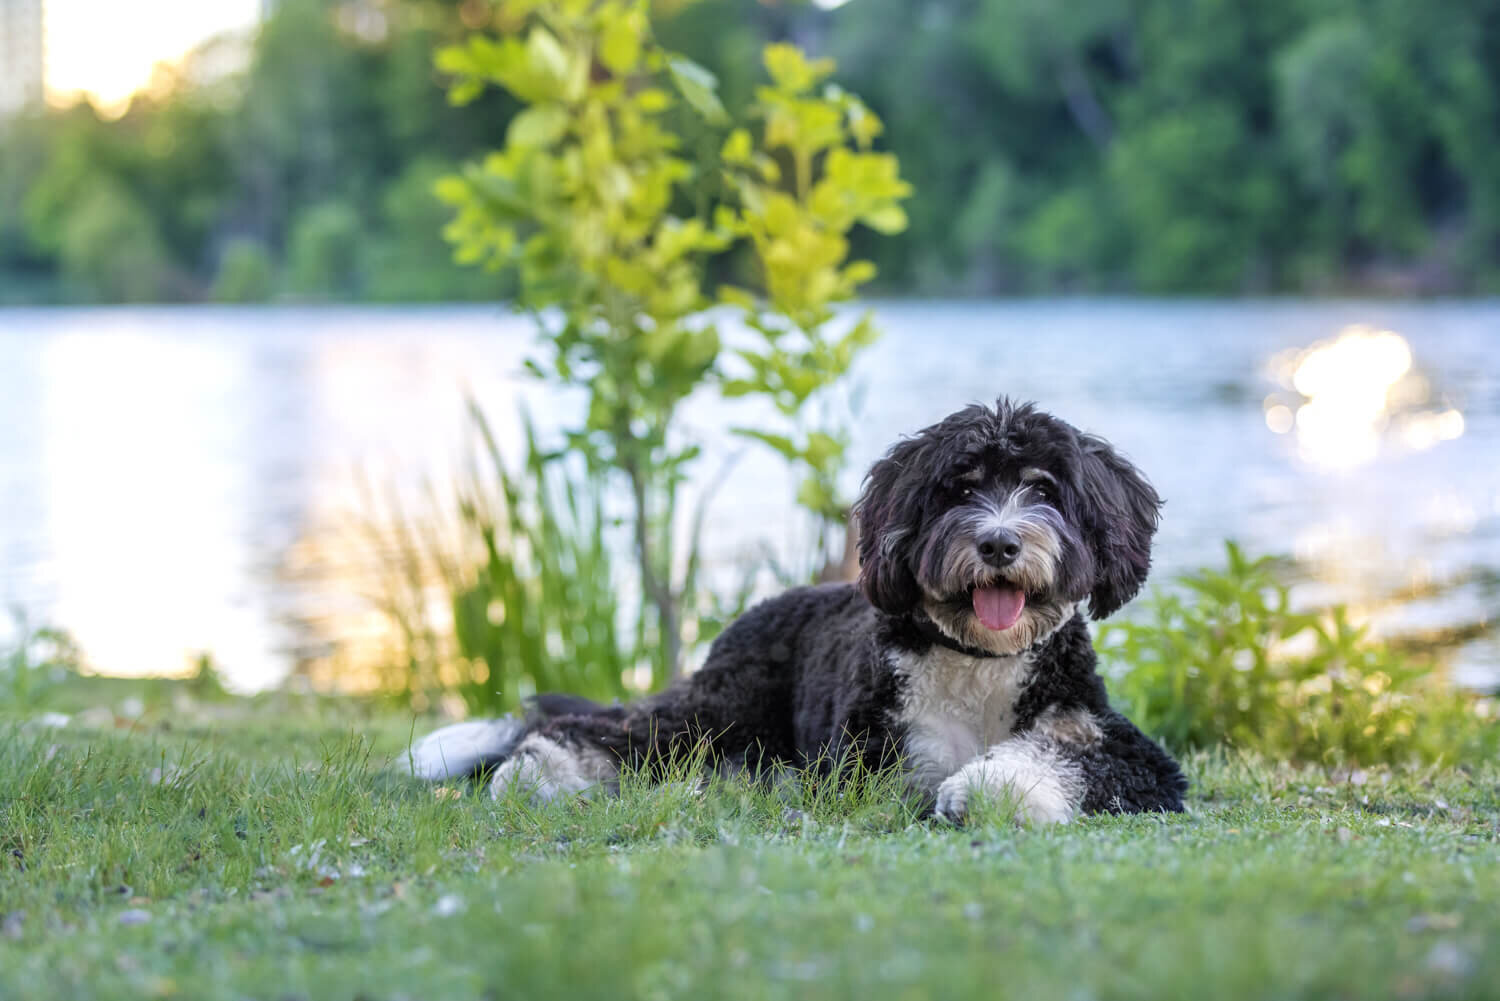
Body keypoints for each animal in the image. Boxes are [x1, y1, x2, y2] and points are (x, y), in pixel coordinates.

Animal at [405, 402, 1188, 828]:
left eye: (1045, 489)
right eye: (959, 488)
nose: (998, 542)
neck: (977, 664)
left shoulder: (1123, 749)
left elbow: (1070, 759)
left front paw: (991, 788)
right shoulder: (862, 764)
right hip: (720, 709)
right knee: (611, 733)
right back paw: (536, 771)